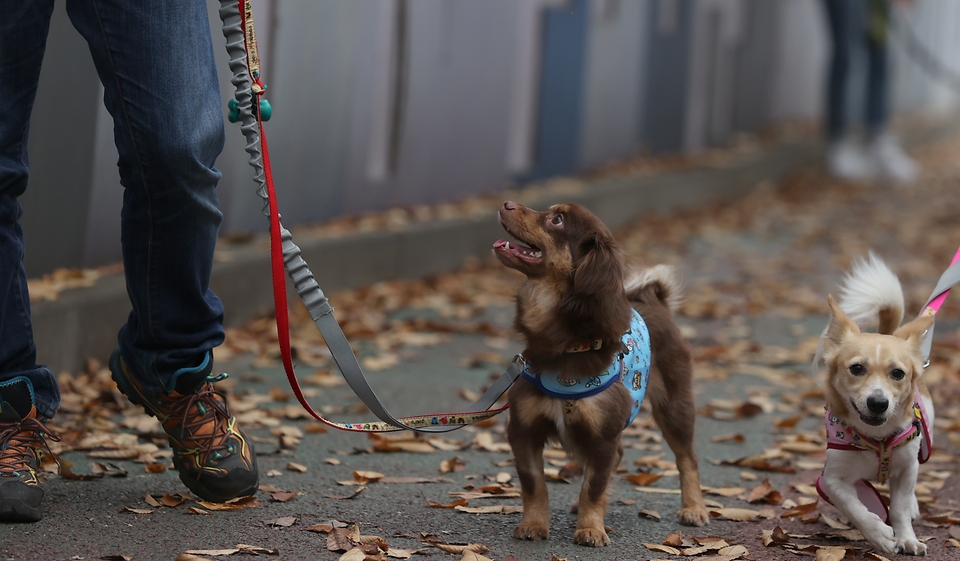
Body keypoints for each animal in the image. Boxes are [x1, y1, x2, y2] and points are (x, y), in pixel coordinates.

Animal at [496, 199, 704, 544]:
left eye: (557, 220)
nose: (506, 203)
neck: (565, 348)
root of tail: (657, 302)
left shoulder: (602, 436)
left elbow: (593, 488)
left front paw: (590, 528)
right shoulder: (523, 432)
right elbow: (534, 484)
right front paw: (535, 524)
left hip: (674, 407)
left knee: (687, 458)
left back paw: (694, 508)